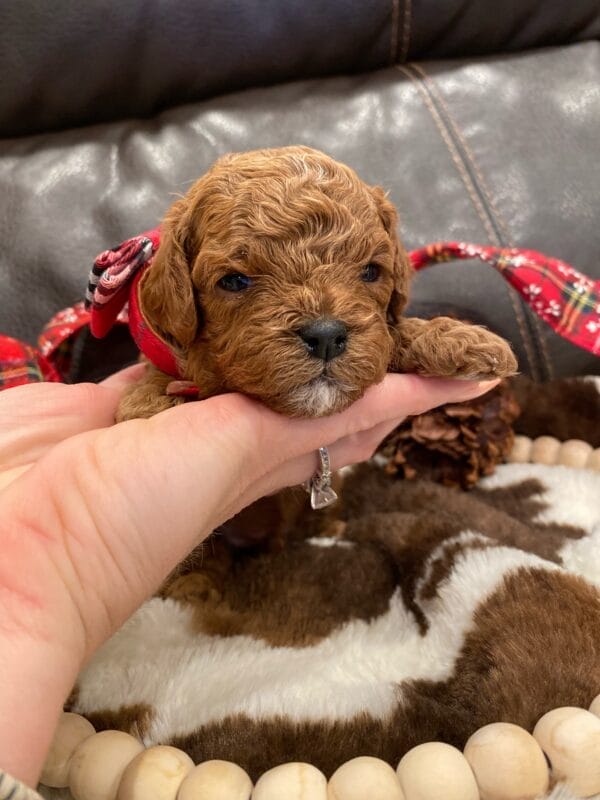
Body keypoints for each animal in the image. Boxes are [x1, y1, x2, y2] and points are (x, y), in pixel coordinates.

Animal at [116, 144, 516, 422]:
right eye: (234, 281)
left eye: (370, 272)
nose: (325, 336)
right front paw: (152, 401)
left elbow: (392, 330)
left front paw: (460, 340)